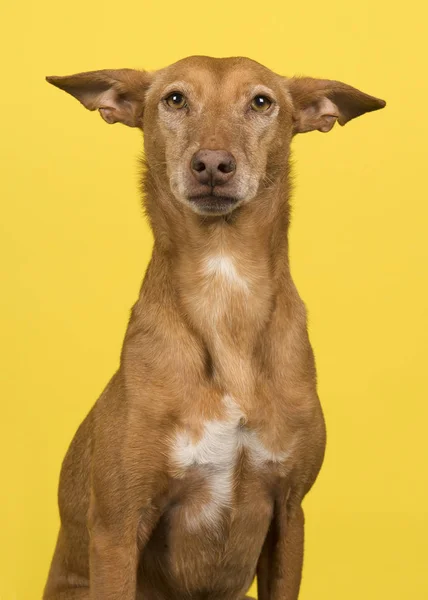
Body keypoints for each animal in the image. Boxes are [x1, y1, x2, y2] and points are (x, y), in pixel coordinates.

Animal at [43, 57, 384, 600]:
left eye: (261, 101)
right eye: (175, 99)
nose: (212, 164)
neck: (225, 292)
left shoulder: (290, 514)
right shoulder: (117, 527)